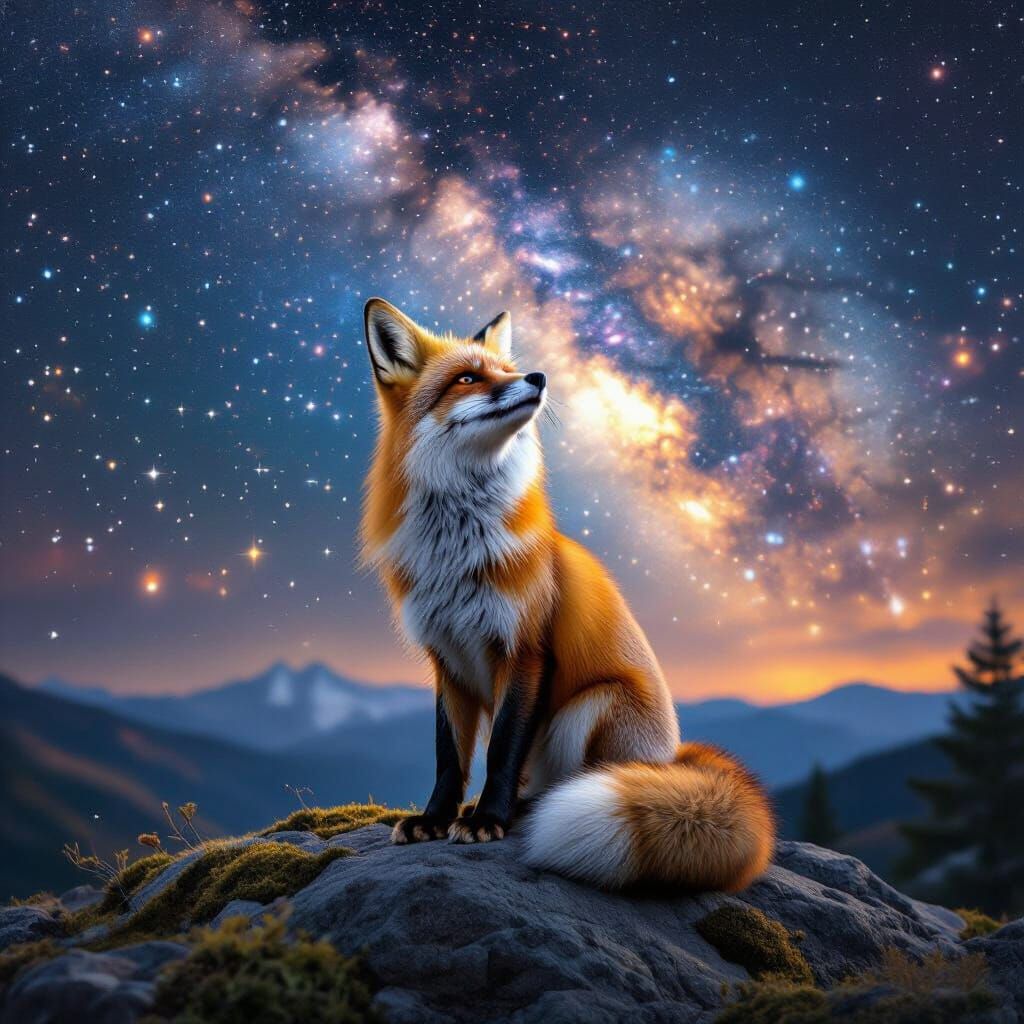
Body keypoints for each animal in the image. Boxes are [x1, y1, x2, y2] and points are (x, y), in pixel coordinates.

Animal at [360, 297, 775, 890]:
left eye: (507, 370)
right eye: (467, 378)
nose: (537, 377)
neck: (458, 552)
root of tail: (672, 756)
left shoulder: (526, 649)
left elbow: (501, 750)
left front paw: (487, 820)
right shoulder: (447, 660)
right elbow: (449, 757)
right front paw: (435, 819)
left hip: (591, 707)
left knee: (566, 781)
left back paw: (524, 811)